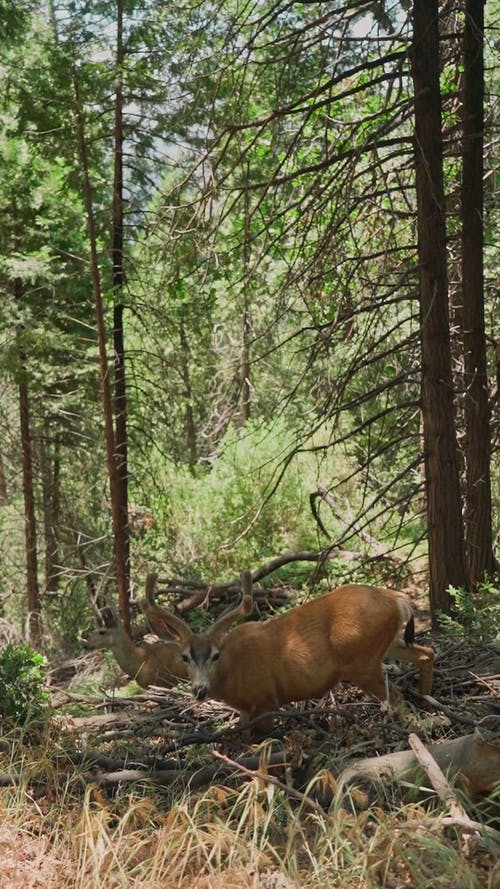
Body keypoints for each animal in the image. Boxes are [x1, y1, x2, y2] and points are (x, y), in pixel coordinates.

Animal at [140, 572, 434, 732]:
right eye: (185, 656)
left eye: (215, 655)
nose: (199, 690)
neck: (231, 672)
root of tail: (398, 599)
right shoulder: (246, 711)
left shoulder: (266, 701)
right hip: (389, 643)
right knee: (427, 652)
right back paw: (427, 702)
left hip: (363, 661)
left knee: (395, 694)